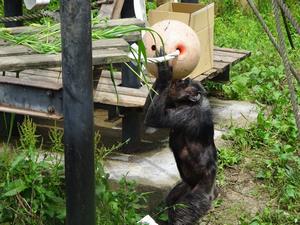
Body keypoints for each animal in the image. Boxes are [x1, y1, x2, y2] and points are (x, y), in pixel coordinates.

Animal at [144, 49, 217, 225]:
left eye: (183, 83)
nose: (181, 79)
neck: (190, 103)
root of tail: (213, 192)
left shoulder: (186, 114)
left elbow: (155, 119)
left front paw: (164, 72)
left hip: (199, 198)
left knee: (182, 213)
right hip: (184, 186)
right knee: (171, 200)